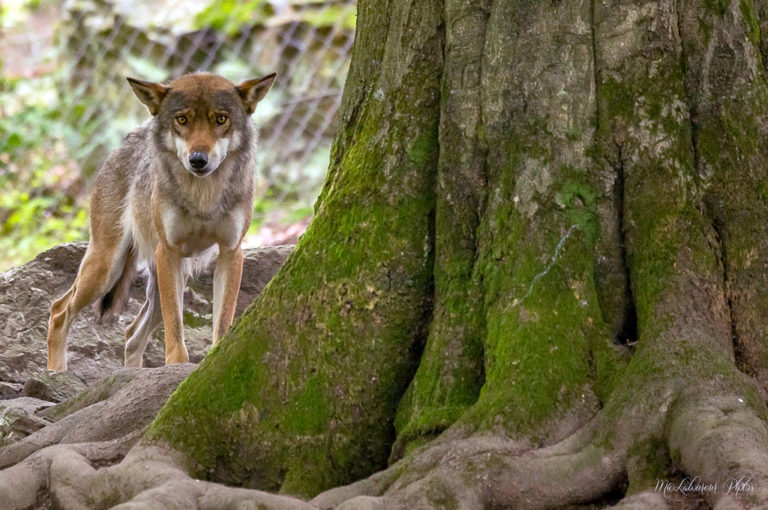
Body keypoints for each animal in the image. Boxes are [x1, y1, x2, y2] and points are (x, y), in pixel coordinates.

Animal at [46, 71, 278, 370]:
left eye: (220, 119)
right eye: (182, 120)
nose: (198, 160)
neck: (203, 198)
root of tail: (131, 136)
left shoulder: (231, 252)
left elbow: (222, 322)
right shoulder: (168, 251)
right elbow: (175, 327)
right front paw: (176, 366)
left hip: (169, 276)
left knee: (131, 334)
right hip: (107, 268)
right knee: (59, 310)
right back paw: (56, 372)